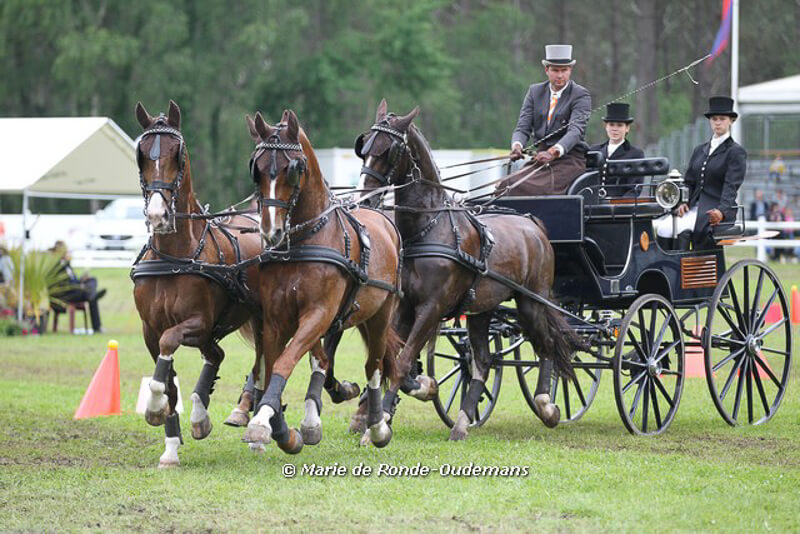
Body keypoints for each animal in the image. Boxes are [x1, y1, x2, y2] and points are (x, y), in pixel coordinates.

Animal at [131, 101, 268, 468]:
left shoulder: (196, 322)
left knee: (262, 365)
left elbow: (169, 349)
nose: (158, 215)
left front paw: (154, 408)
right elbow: (166, 380)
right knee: (216, 354)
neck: (175, 256)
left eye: (177, 153)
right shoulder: (150, 329)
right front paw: (170, 446)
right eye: (141, 154)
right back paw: (201, 415)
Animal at [236, 109, 400, 452]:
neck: (303, 242)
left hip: (380, 314)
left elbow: (285, 362)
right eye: (256, 169)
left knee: (375, 366)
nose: (271, 231)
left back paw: (376, 426)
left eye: (293, 168)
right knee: (323, 360)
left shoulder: (318, 313)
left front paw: (261, 422)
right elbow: (272, 369)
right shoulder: (276, 319)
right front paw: (282, 430)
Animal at [356, 99, 576, 440]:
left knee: (547, 345)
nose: (364, 196)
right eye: (364, 147)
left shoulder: (432, 308)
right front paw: (403, 401)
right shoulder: (405, 307)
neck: (427, 228)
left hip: (531, 302)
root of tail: (533, 223)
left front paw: (382, 420)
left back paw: (547, 406)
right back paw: (461, 423)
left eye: (389, 150)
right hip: (481, 310)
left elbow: (403, 361)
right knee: (483, 361)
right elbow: (393, 360)